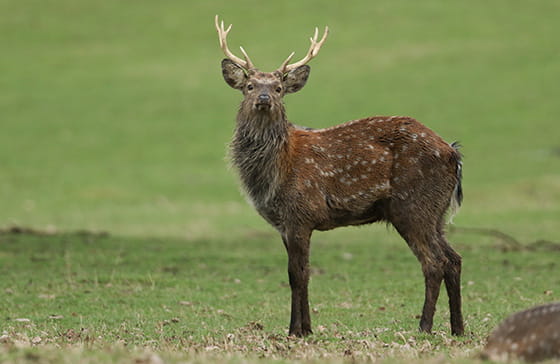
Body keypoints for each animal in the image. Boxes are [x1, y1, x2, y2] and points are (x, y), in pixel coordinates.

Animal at [214, 15, 464, 336]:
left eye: (280, 87)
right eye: (248, 85)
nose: (265, 98)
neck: (274, 174)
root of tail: (452, 153)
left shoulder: (301, 213)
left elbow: (296, 274)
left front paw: (296, 330)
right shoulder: (285, 224)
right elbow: (302, 272)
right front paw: (305, 328)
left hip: (413, 206)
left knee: (434, 262)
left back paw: (424, 326)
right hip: (437, 212)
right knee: (454, 259)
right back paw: (458, 328)